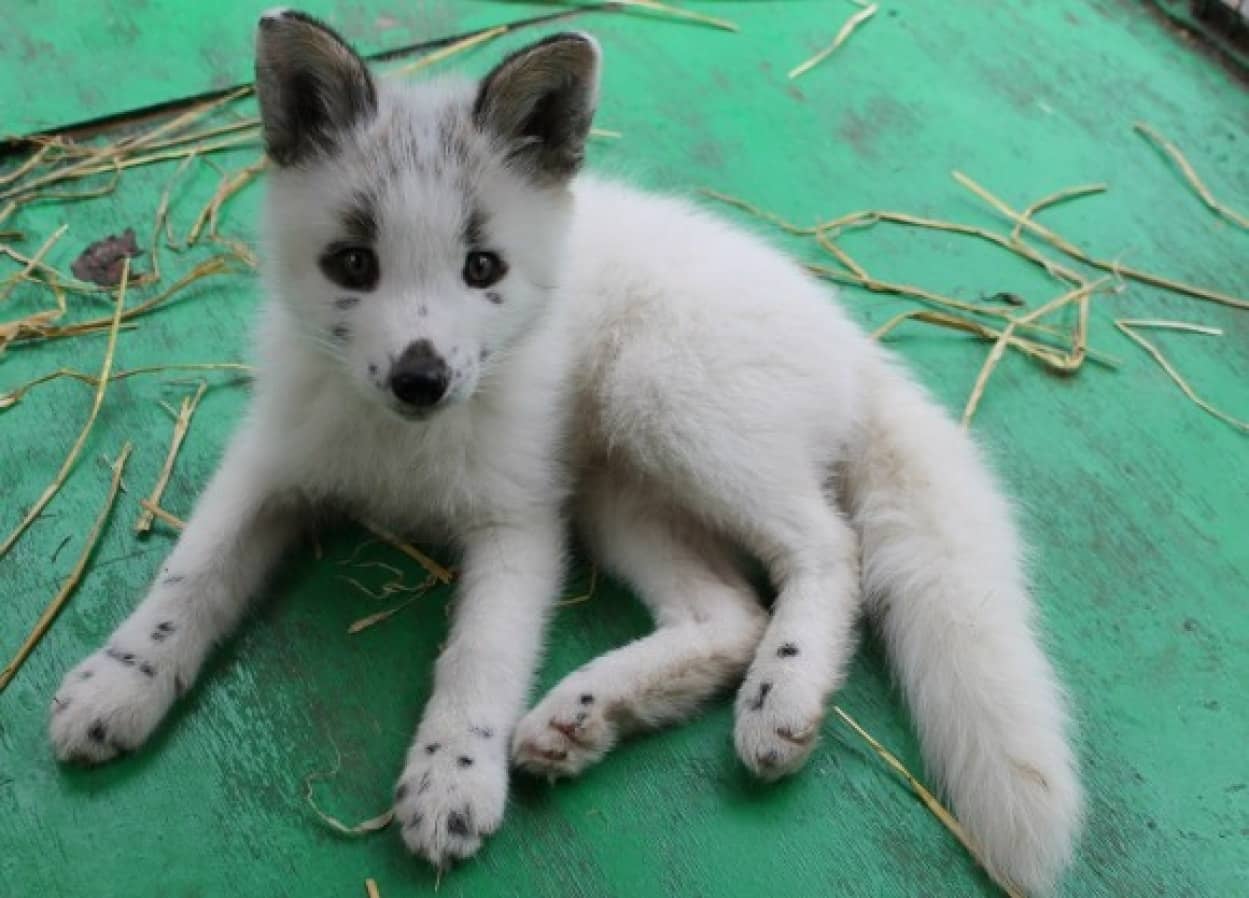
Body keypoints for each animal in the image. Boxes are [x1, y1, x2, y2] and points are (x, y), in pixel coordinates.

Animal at [48, 10, 1084, 894]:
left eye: (482, 269)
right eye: (351, 264)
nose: (421, 379)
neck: (398, 451)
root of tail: (851, 343)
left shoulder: (519, 527)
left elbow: (478, 660)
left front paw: (451, 779)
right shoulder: (271, 469)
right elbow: (188, 580)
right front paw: (120, 681)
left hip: (667, 407)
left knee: (829, 549)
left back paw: (778, 695)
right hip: (616, 493)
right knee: (727, 613)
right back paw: (581, 716)